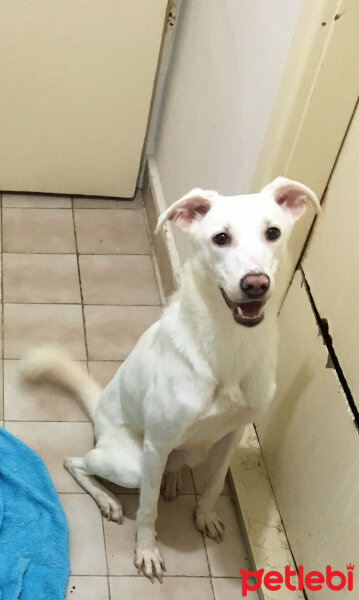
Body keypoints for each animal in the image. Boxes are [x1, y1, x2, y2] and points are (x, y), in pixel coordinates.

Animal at [22, 177, 320, 580]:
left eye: (273, 232)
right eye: (220, 238)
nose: (256, 283)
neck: (228, 345)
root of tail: (98, 408)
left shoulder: (234, 434)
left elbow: (214, 484)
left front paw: (205, 515)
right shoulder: (157, 443)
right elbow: (148, 510)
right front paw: (147, 550)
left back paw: (173, 478)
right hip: (129, 463)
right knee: (77, 463)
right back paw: (109, 499)